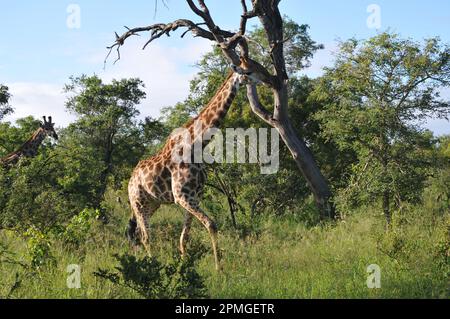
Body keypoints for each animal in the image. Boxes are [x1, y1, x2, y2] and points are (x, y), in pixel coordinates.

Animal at [127, 66, 253, 272]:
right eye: (247, 71)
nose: (261, 80)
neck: (197, 144)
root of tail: (130, 181)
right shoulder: (182, 197)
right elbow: (211, 224)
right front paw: (219, 269)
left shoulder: (194, 196)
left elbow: (184, 237)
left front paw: (185, 265)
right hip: (137, 201)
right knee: (145, 235)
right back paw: (151, 264)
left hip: (152, 203)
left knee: (137, 231)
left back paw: (140, 261)